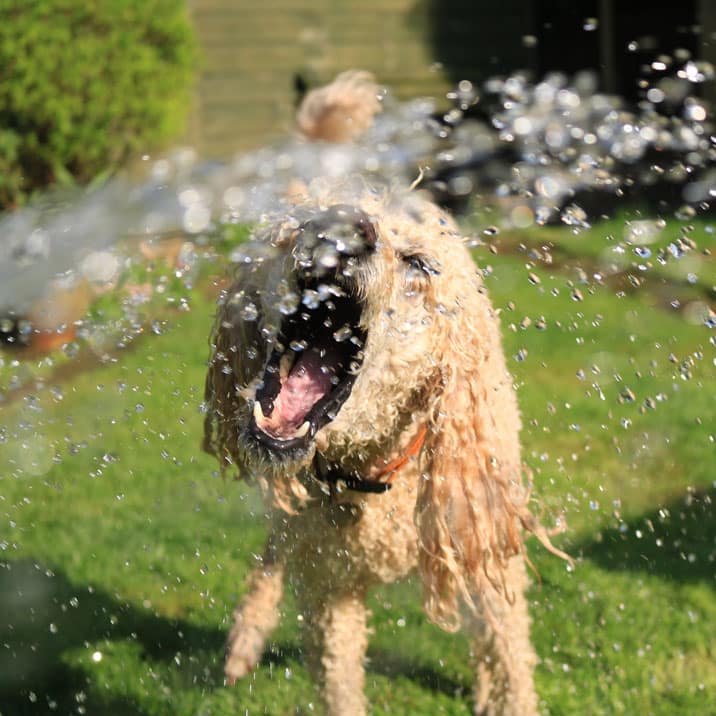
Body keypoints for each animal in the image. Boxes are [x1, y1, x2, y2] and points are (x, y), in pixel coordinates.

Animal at [201, 186, 564, 716]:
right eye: (302, 223)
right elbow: (338, 681)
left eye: (418, 263)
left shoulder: (486, 542)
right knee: (274, 550)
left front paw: (502, 692)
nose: (345, 228)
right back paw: (246, 636)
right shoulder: (328, 585)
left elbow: (509, 656)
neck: (374, 472)